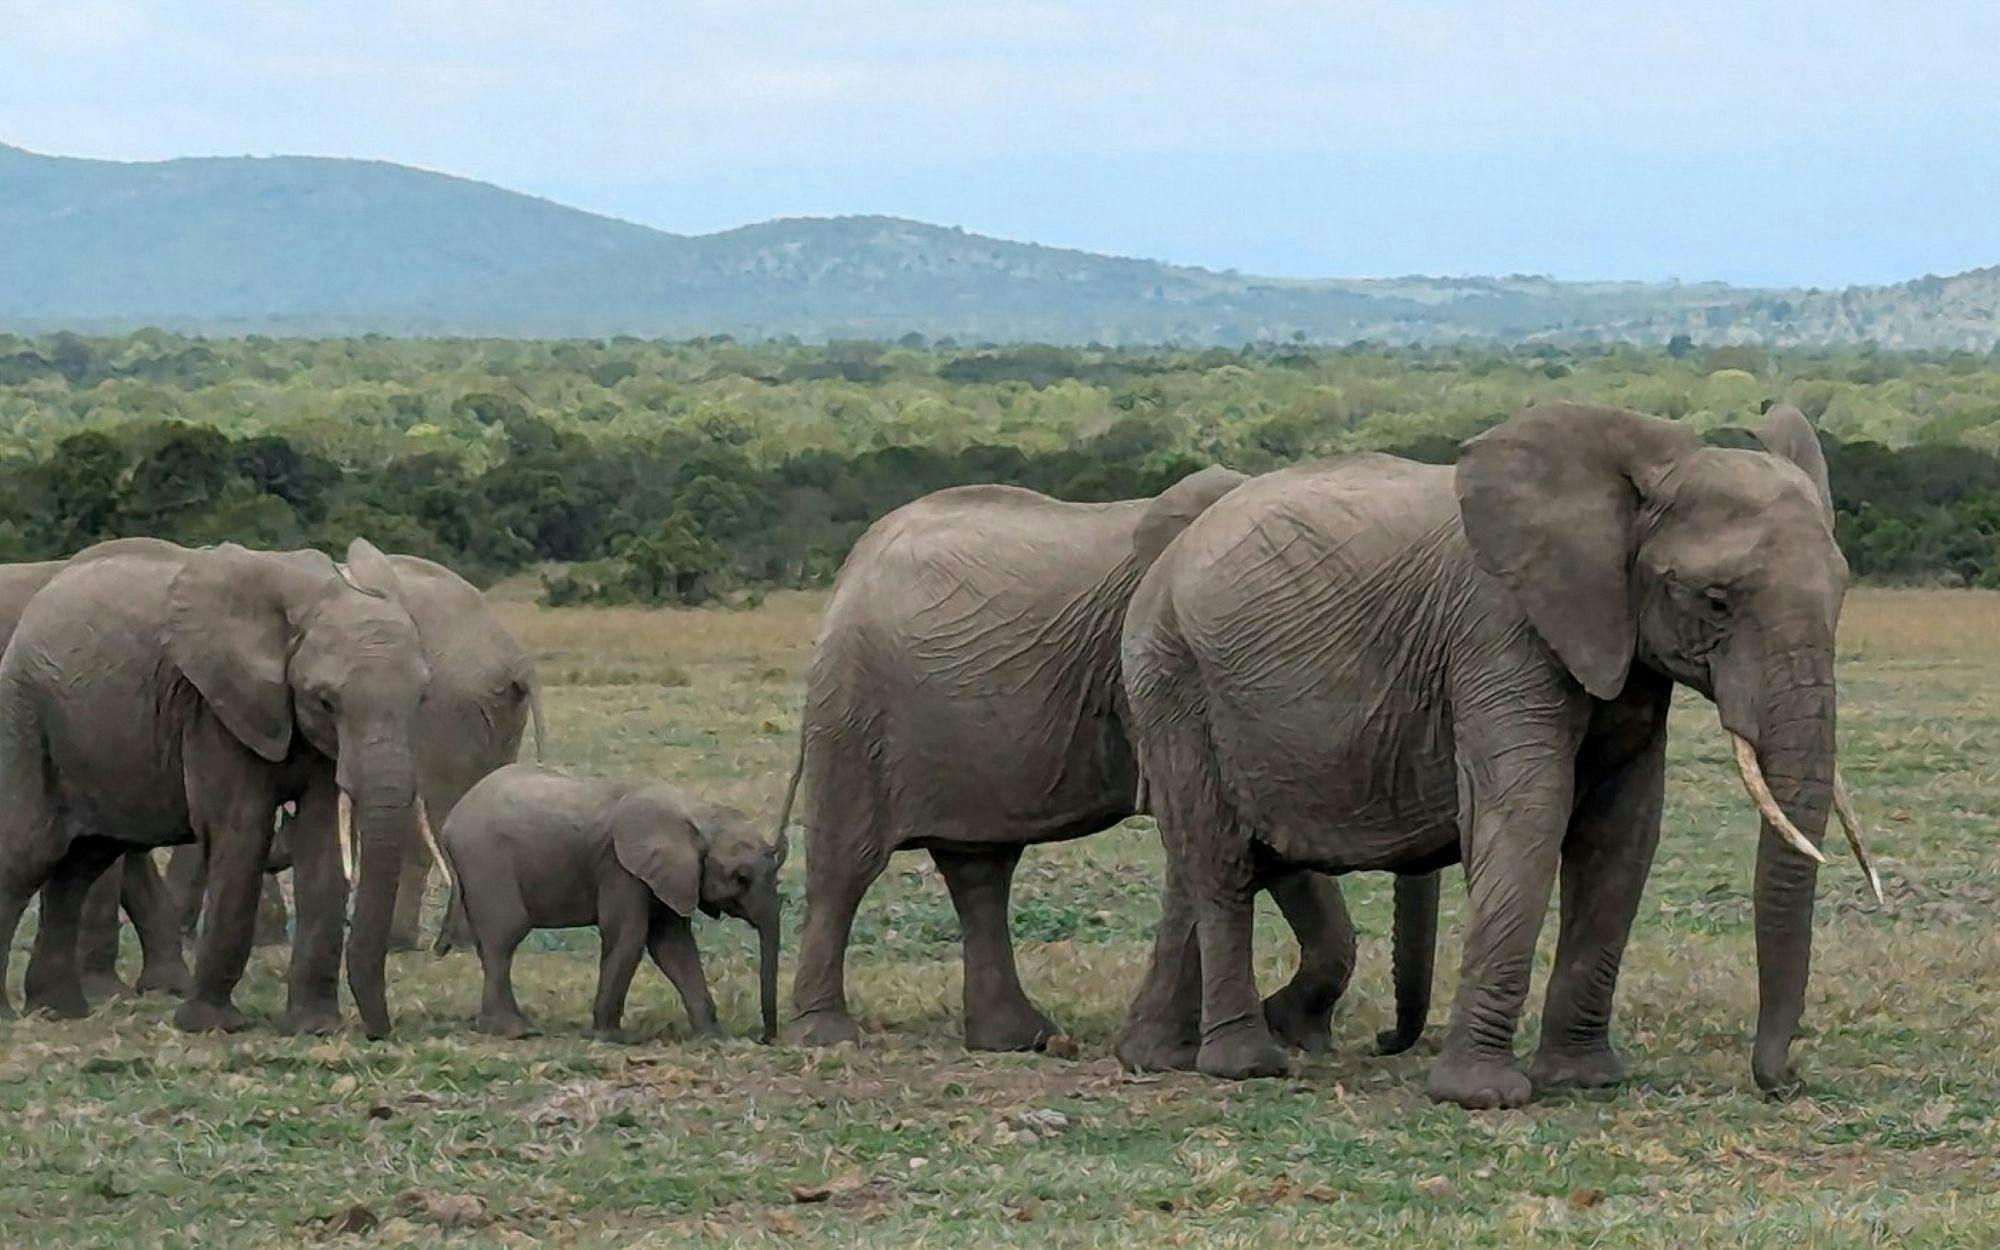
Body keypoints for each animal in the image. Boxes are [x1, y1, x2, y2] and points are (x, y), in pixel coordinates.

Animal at [0, 537, 431, 1037]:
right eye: (325, 701)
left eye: (422, 698)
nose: (379, 1030)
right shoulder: (212, 707)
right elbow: (243, 833)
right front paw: (212, 1026)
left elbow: (321, 844)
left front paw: (313, 1028)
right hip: (25, 715)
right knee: (31, 853)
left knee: (82, 863)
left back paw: (58, 1011)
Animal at [438, 764, 786, 1042]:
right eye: (741, 877)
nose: (765, 1038)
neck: (698, 813)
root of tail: (450, 821)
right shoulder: (621, 869)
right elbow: (628, 937)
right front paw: (610, 1036)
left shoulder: (666, 877)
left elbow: (673, 945)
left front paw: (713, 1037)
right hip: (487, 861)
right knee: (505, 937)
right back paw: (516, 1031)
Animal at [786, 467, 1440, 1054]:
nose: (1383, 1041)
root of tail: (853, 563)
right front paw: (1285, 1028)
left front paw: (1297, 1033)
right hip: (854, 707)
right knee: (848, 863)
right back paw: (828, 1036)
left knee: (980, 869)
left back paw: (1021, 1040)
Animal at [1118, 402, 1879, 1108]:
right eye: (1715, 602)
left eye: (1844, 594)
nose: (1786, 1079)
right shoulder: (1500, 630)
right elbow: (1530, 814)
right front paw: (1482, 1096)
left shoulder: (1622, 648)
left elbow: (1623, 833)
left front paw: (1583, 1080)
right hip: (1172, 674)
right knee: (1219, 860)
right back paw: (1245, 1065)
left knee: (1194, 861)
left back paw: (1156, 1056)